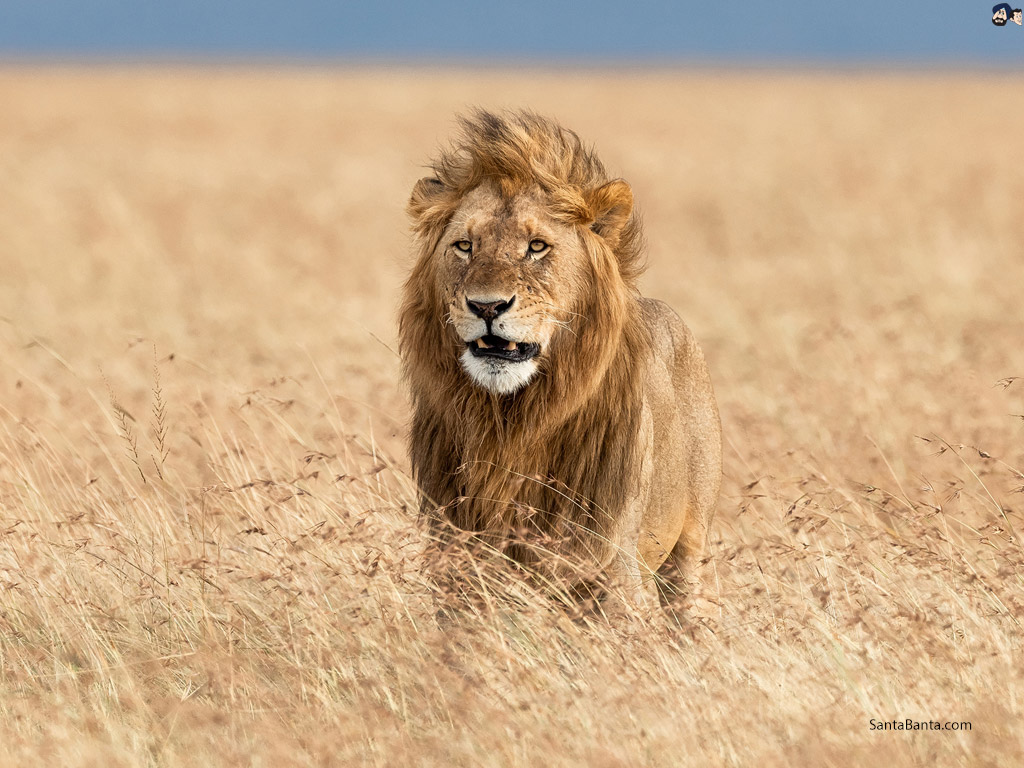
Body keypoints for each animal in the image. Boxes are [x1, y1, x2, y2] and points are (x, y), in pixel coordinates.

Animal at [395, 109, 724, 614]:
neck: (509, 421)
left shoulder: (610, 563)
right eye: (465, 246)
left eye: (537, 247)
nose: (487, 306)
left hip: (690, 549)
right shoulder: (458, 560)